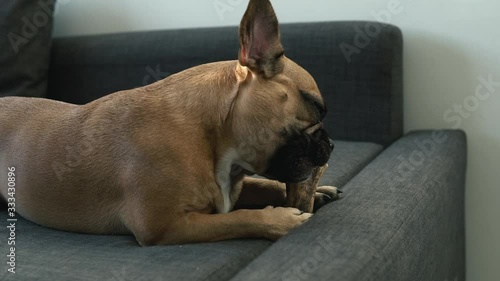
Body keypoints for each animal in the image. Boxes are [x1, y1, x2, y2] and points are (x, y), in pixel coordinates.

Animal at [0, 0, 338, 244]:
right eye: (315, 106)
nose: (331, 144)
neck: (213, 140)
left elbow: (262, 184)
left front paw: (317, 191)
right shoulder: (167, 226)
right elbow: (238, 219)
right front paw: (279, 219)